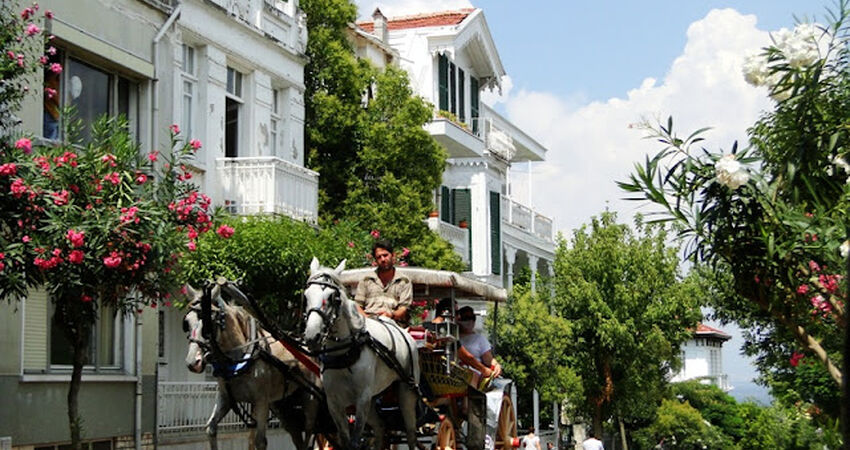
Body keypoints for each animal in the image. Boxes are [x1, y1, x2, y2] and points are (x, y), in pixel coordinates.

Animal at [182, 284, 322, 450]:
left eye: (208, 324)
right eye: (186, 323)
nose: (193, 362)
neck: (240, 358)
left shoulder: (261, 402)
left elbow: (260, 441)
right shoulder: (225, 398)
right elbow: (211, 428)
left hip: (310, 403)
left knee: (309, 435)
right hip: (283, 408)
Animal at [304, 258, 424, 450]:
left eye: (332, 297)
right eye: (306, 295)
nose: (312, 336)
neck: (345, 352)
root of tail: (406, 334)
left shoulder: (362, 398)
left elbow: (354, 441)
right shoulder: (334, 402)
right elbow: (345, 440)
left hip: (407, 391)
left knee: (411, 433)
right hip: (375, 398)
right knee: (380, 427)